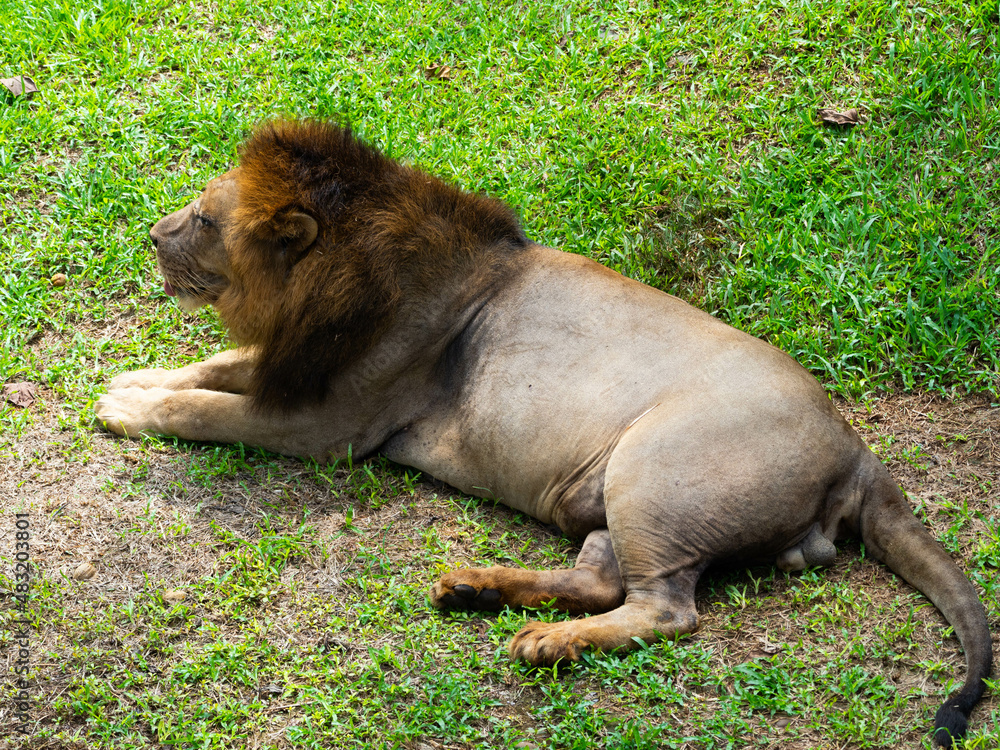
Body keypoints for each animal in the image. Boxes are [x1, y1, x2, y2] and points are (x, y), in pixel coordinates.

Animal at [95, 120, 991, 746]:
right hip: (609, 496)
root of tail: (858, 451)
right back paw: (476, 589)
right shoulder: (296, 368)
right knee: (601, 580)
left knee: (665, 610)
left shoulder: (331, 421)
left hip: (651, 472)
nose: (149, 233)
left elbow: (209, 409)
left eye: (203, 220)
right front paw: (132, 380)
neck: (325, 284)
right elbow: (213, 366)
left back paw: (544, 644)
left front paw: (126, 410)